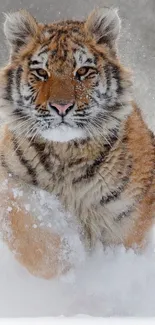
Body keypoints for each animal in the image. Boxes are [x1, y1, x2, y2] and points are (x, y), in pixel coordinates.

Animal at [0, 6, 154, 278]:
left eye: (82, 71)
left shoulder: (128, 219)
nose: (61, 107)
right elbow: (27, 225)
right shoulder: (9, 180)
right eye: (41, 72)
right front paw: (65, 261)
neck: (66, 153)